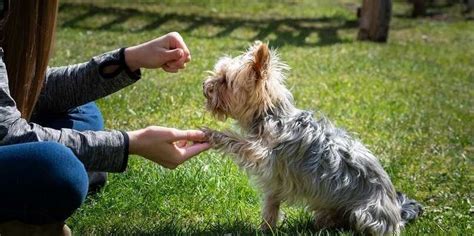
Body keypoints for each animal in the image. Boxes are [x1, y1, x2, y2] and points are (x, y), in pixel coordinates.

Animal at [203, 41, 422, 235]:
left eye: (224, 80)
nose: (205, 86)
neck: (271, 114)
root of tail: (398, 213)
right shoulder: (275, 181)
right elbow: (271, 206)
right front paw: (266, 229)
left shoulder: (262, 152)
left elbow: (238, 142)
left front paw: (212, 134)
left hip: (366, 214)